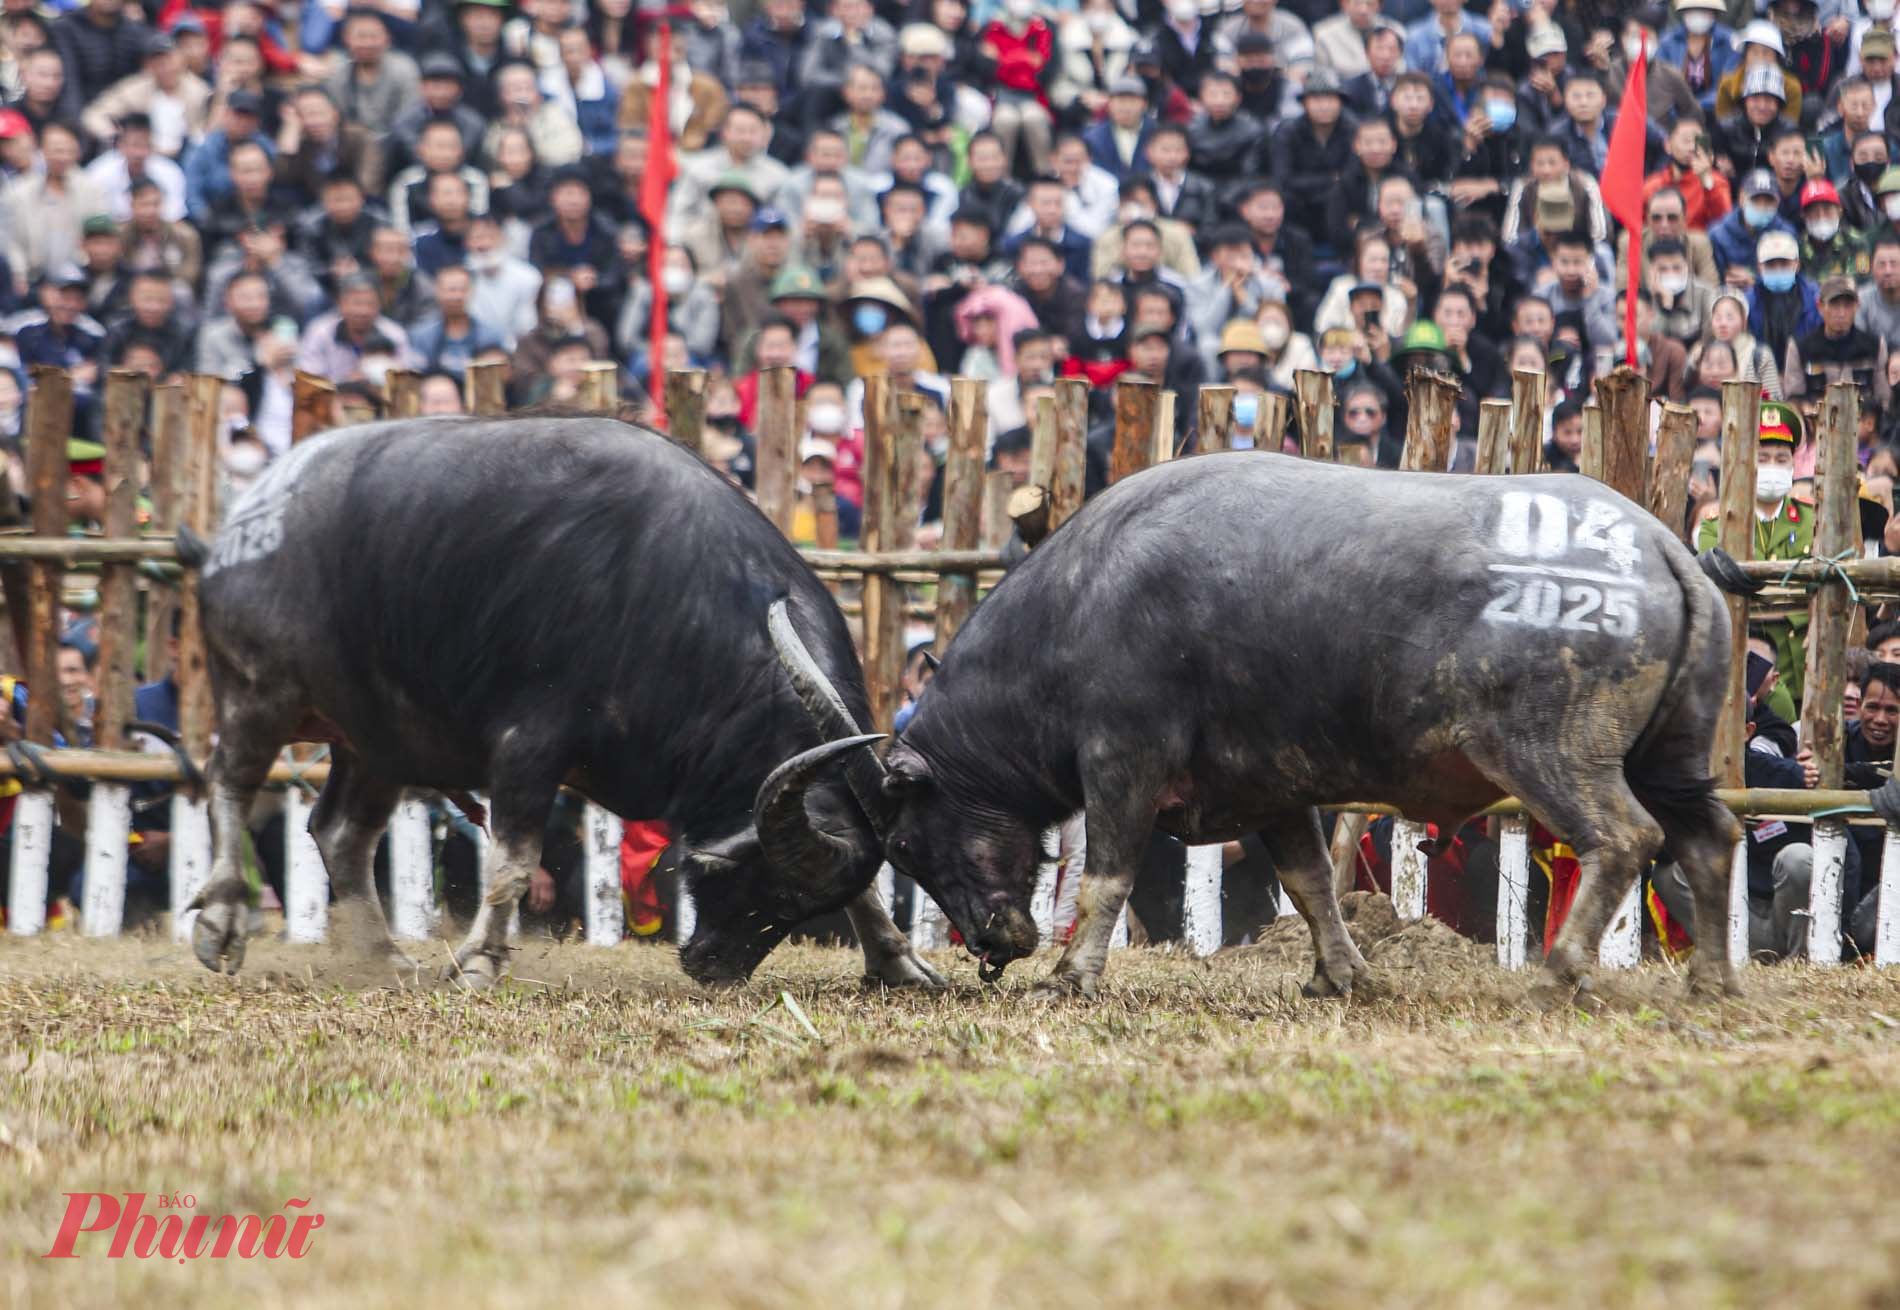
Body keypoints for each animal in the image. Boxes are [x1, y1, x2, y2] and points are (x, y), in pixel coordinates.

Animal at [185, 414, 942, 988]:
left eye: (796, 909)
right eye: (768, 887)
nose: (712, 966)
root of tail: (243, 522)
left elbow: (867, 885)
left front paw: (898, 963)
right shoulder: (528, 744)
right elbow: (515, 860)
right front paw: (480, 963)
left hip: (377, 739)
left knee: (340, 831)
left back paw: (387, 957)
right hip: (259, 691)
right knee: (229, 780)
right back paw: (220, 923)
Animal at [767, 448, 1740, 1003]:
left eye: (906, 844)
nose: (992, 945)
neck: (1082, 606)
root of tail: (1664, 549)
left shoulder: (1121, 762)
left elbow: (1107, 879)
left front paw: (1071, 978)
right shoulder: (1272, 788)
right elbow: (1311, 884)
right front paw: (1342, 977)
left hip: (1553, 754)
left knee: (1624, 838)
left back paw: (1556, 976)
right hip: (1674, 755)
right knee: (1711, 835)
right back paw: (1713, 980)